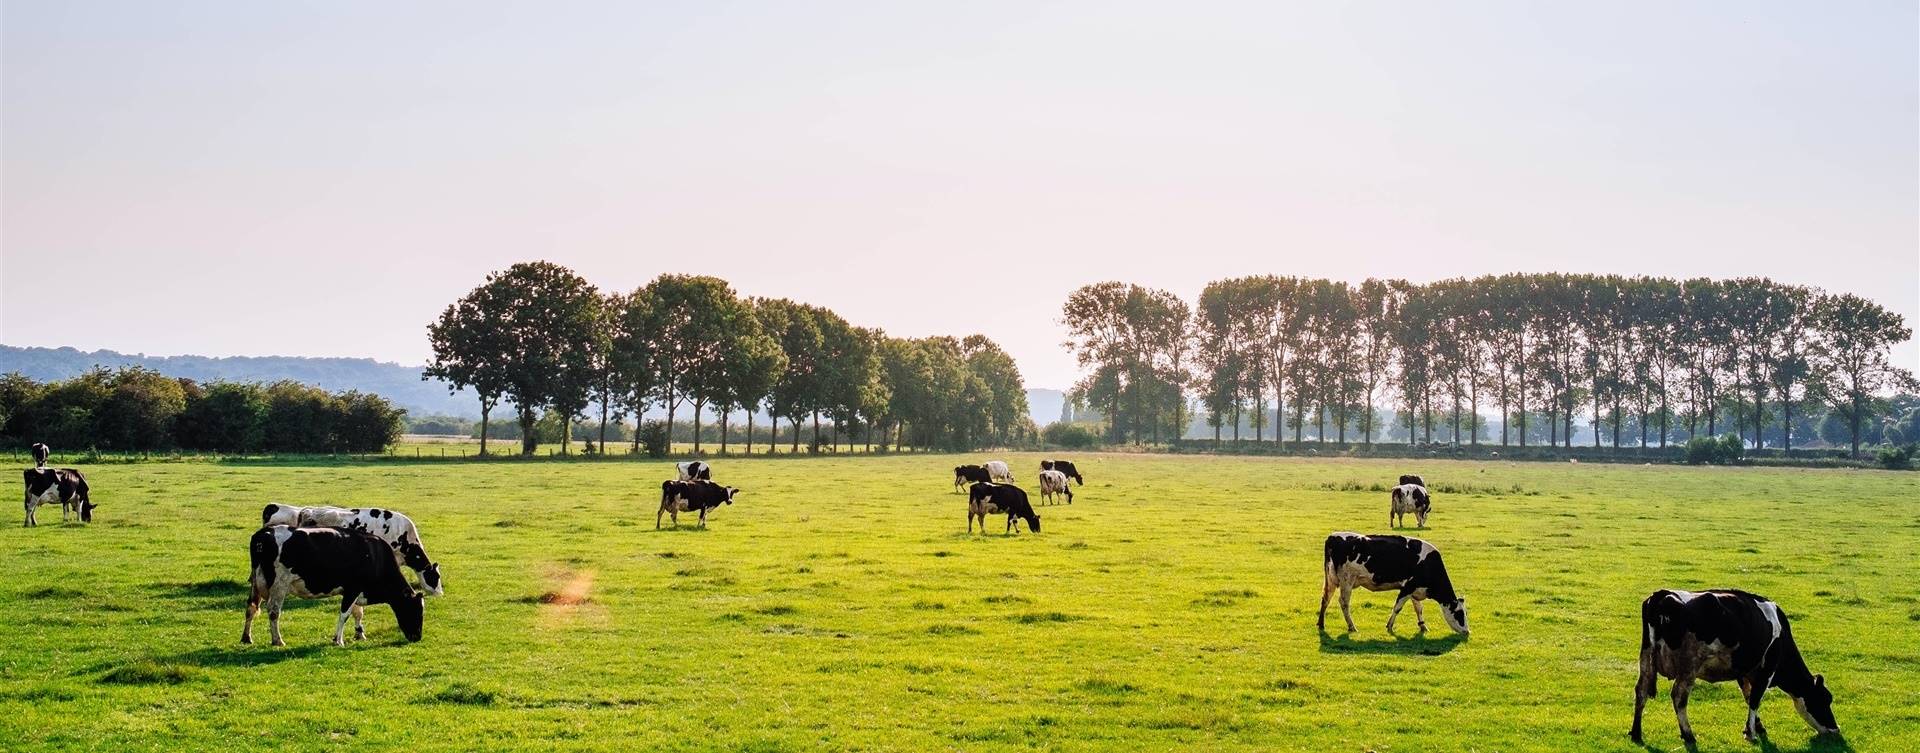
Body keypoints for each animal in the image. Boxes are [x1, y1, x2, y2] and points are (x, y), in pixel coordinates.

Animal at [243, 525, 424, 647]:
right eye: (416, 611)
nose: (417, 637)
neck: (375, 556)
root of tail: (264, 533)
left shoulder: (354, 591)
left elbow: (357, 612)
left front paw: (360, 634)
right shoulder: (353, 588)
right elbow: (345, 614)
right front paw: (338, 640)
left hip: (255, 583)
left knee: (251, 607)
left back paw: (246, 638)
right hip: (279, 584)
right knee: (273, 611)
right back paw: (277, 640)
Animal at [1319, 532, 1467, 635]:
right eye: (1459, 614)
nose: (1467, 631)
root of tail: (1333, 537)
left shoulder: (1415, 589)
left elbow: (1418, 608)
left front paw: (1423, 626)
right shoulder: (1407, 587)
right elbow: (1397, 608)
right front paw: (1389, 626)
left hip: (1331, 580)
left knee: (1326, 599)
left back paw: (1321, 624)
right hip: (1346, 581)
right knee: (1343, 602)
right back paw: (1351, 626)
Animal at [1631, 589, 1840, 746]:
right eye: (1824, 699)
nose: (1835, 730)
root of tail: (1662, 594)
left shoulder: (1744, 670)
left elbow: (1748, 696)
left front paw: (1756, 727)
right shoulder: (1767, 668)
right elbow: (1755, 699)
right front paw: (1751, 734)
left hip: (1646, 657)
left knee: (1641, 691)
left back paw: (1636, 733)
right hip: (1689, 665)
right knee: (1678, 697)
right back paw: (1688, 735)